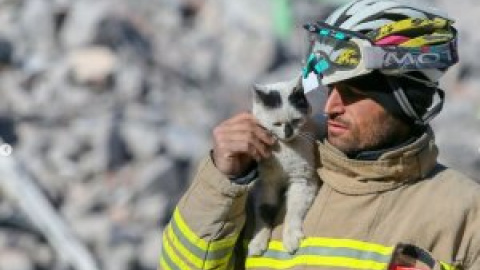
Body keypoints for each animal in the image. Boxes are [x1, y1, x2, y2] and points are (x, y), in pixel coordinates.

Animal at [248, 74, 318, 255]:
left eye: (296, 120)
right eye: (277, 124)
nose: (288, 132)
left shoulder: (303, 181)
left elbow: (292, 211)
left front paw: (291, 238)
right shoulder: (265, 185)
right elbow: (264, 212)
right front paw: (257, 242)